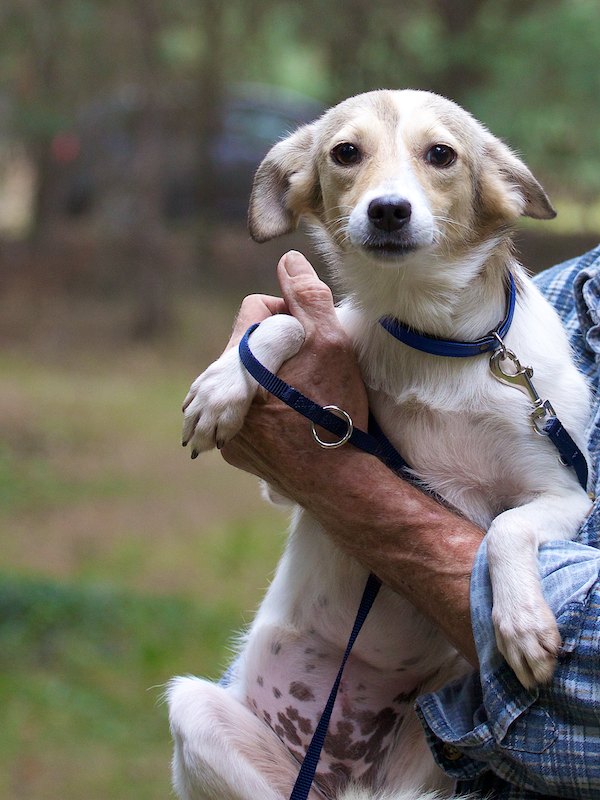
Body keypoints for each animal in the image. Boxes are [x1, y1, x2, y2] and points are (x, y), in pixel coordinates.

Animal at [168, 90, 592, 800]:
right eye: (345, 152)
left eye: (441, 154)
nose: (388, 209)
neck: (435, 338)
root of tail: (341, 777)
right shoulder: (283, 486)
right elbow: (289, 323)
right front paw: (224, 382)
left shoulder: (565, 493)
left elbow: (508, 526)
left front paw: (523, 624)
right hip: (197, 713)